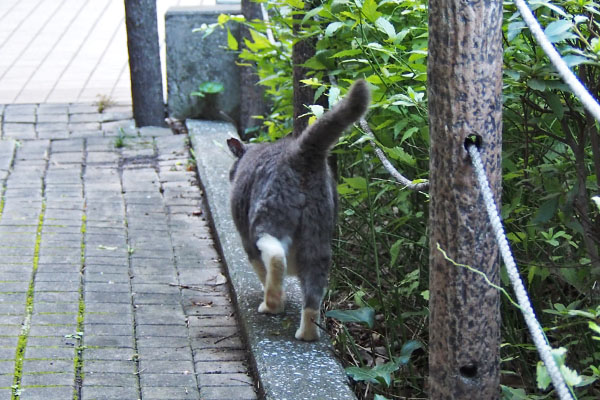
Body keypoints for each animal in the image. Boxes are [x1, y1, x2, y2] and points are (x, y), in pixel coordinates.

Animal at [227, 80, 368, 340]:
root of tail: (302, 152)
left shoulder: (246, 240)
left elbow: (260, 268)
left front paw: (276, 295)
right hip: (318, 231)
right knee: (314, 286)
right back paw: (307, 333)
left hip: (266, 216)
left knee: (274, 256)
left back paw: (272, 304)